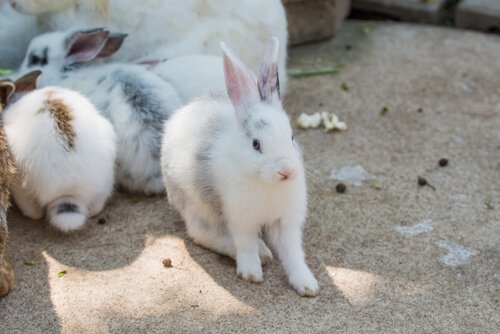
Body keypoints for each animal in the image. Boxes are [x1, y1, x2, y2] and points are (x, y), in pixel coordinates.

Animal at [160, 37, 318, 296]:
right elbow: (245, 245)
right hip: (195, 205)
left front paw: (307, 284)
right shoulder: (241, 219)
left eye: (292, 136)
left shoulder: (286, 222)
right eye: (256, 144)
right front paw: (251, 272)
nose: (285, 170)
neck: (266, 183)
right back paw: (262, 253)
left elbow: (293, 253)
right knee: (202, 233)